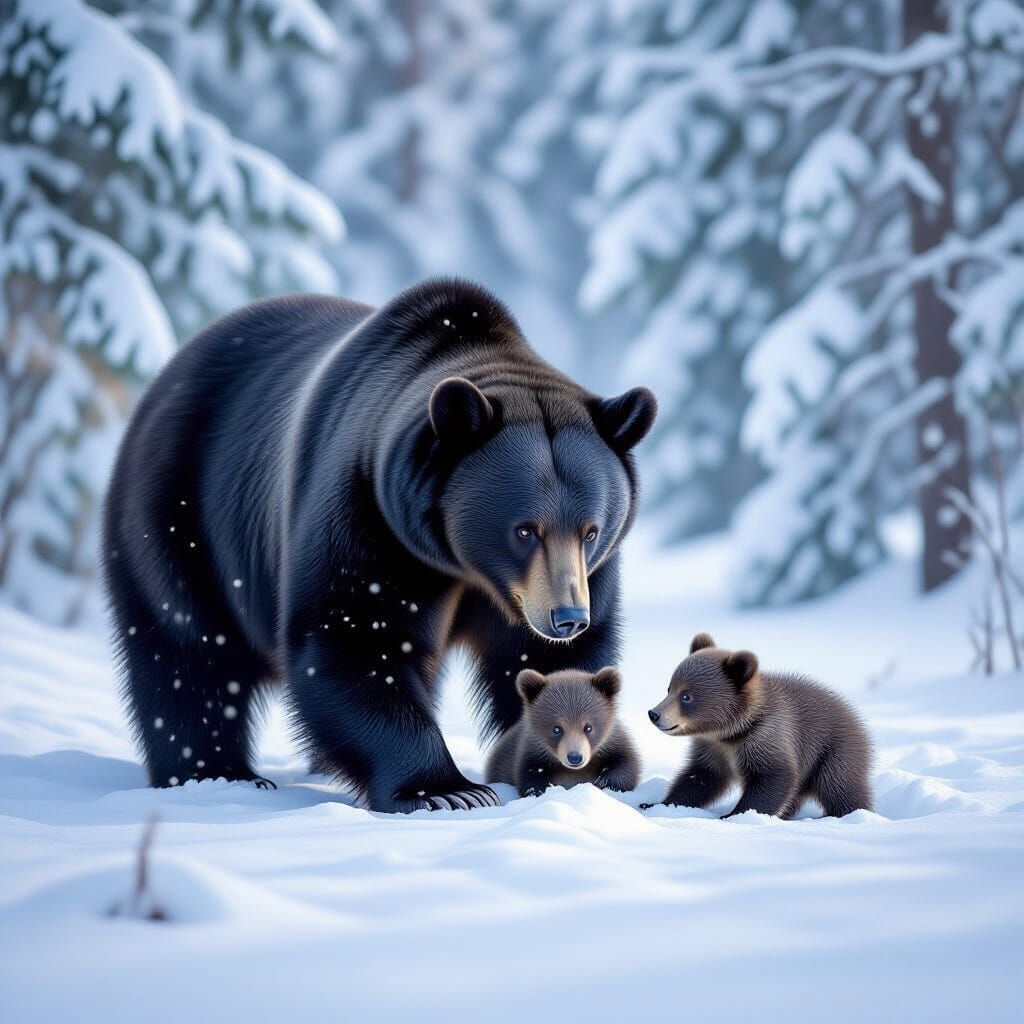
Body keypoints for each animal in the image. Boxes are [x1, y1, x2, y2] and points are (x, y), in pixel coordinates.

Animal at [485, 667, 640, 797]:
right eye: (556, 729)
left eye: (588, 727)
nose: (575, 757)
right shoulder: (530, 754)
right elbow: (528, 777)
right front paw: (539, 789)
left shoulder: (614, 745)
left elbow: (627, 767)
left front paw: (605, 782)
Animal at [645, 633, 872, 818]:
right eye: (670, 688)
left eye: (687, 696)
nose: (654, 714)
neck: (731, 732)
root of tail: (856, 720)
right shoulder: (713, 749)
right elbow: (699, 778)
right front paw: (655, 803)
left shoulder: (766, 737)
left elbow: (774, 778)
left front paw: (734, 814)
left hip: (832, 752)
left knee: (839, 787)